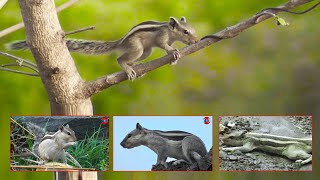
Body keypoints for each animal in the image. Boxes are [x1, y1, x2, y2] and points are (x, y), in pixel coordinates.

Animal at [8, 16, 198, 80]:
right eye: (185, 31)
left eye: (193, 30)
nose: (196, 41)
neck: (170, 31)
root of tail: (121, 42)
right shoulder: (162, 37)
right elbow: (164, 45)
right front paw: (172, 52)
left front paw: (174, 58)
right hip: (137, 48)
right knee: (120, 59)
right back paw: (128, 68)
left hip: (145, 52)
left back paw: (136, 66)